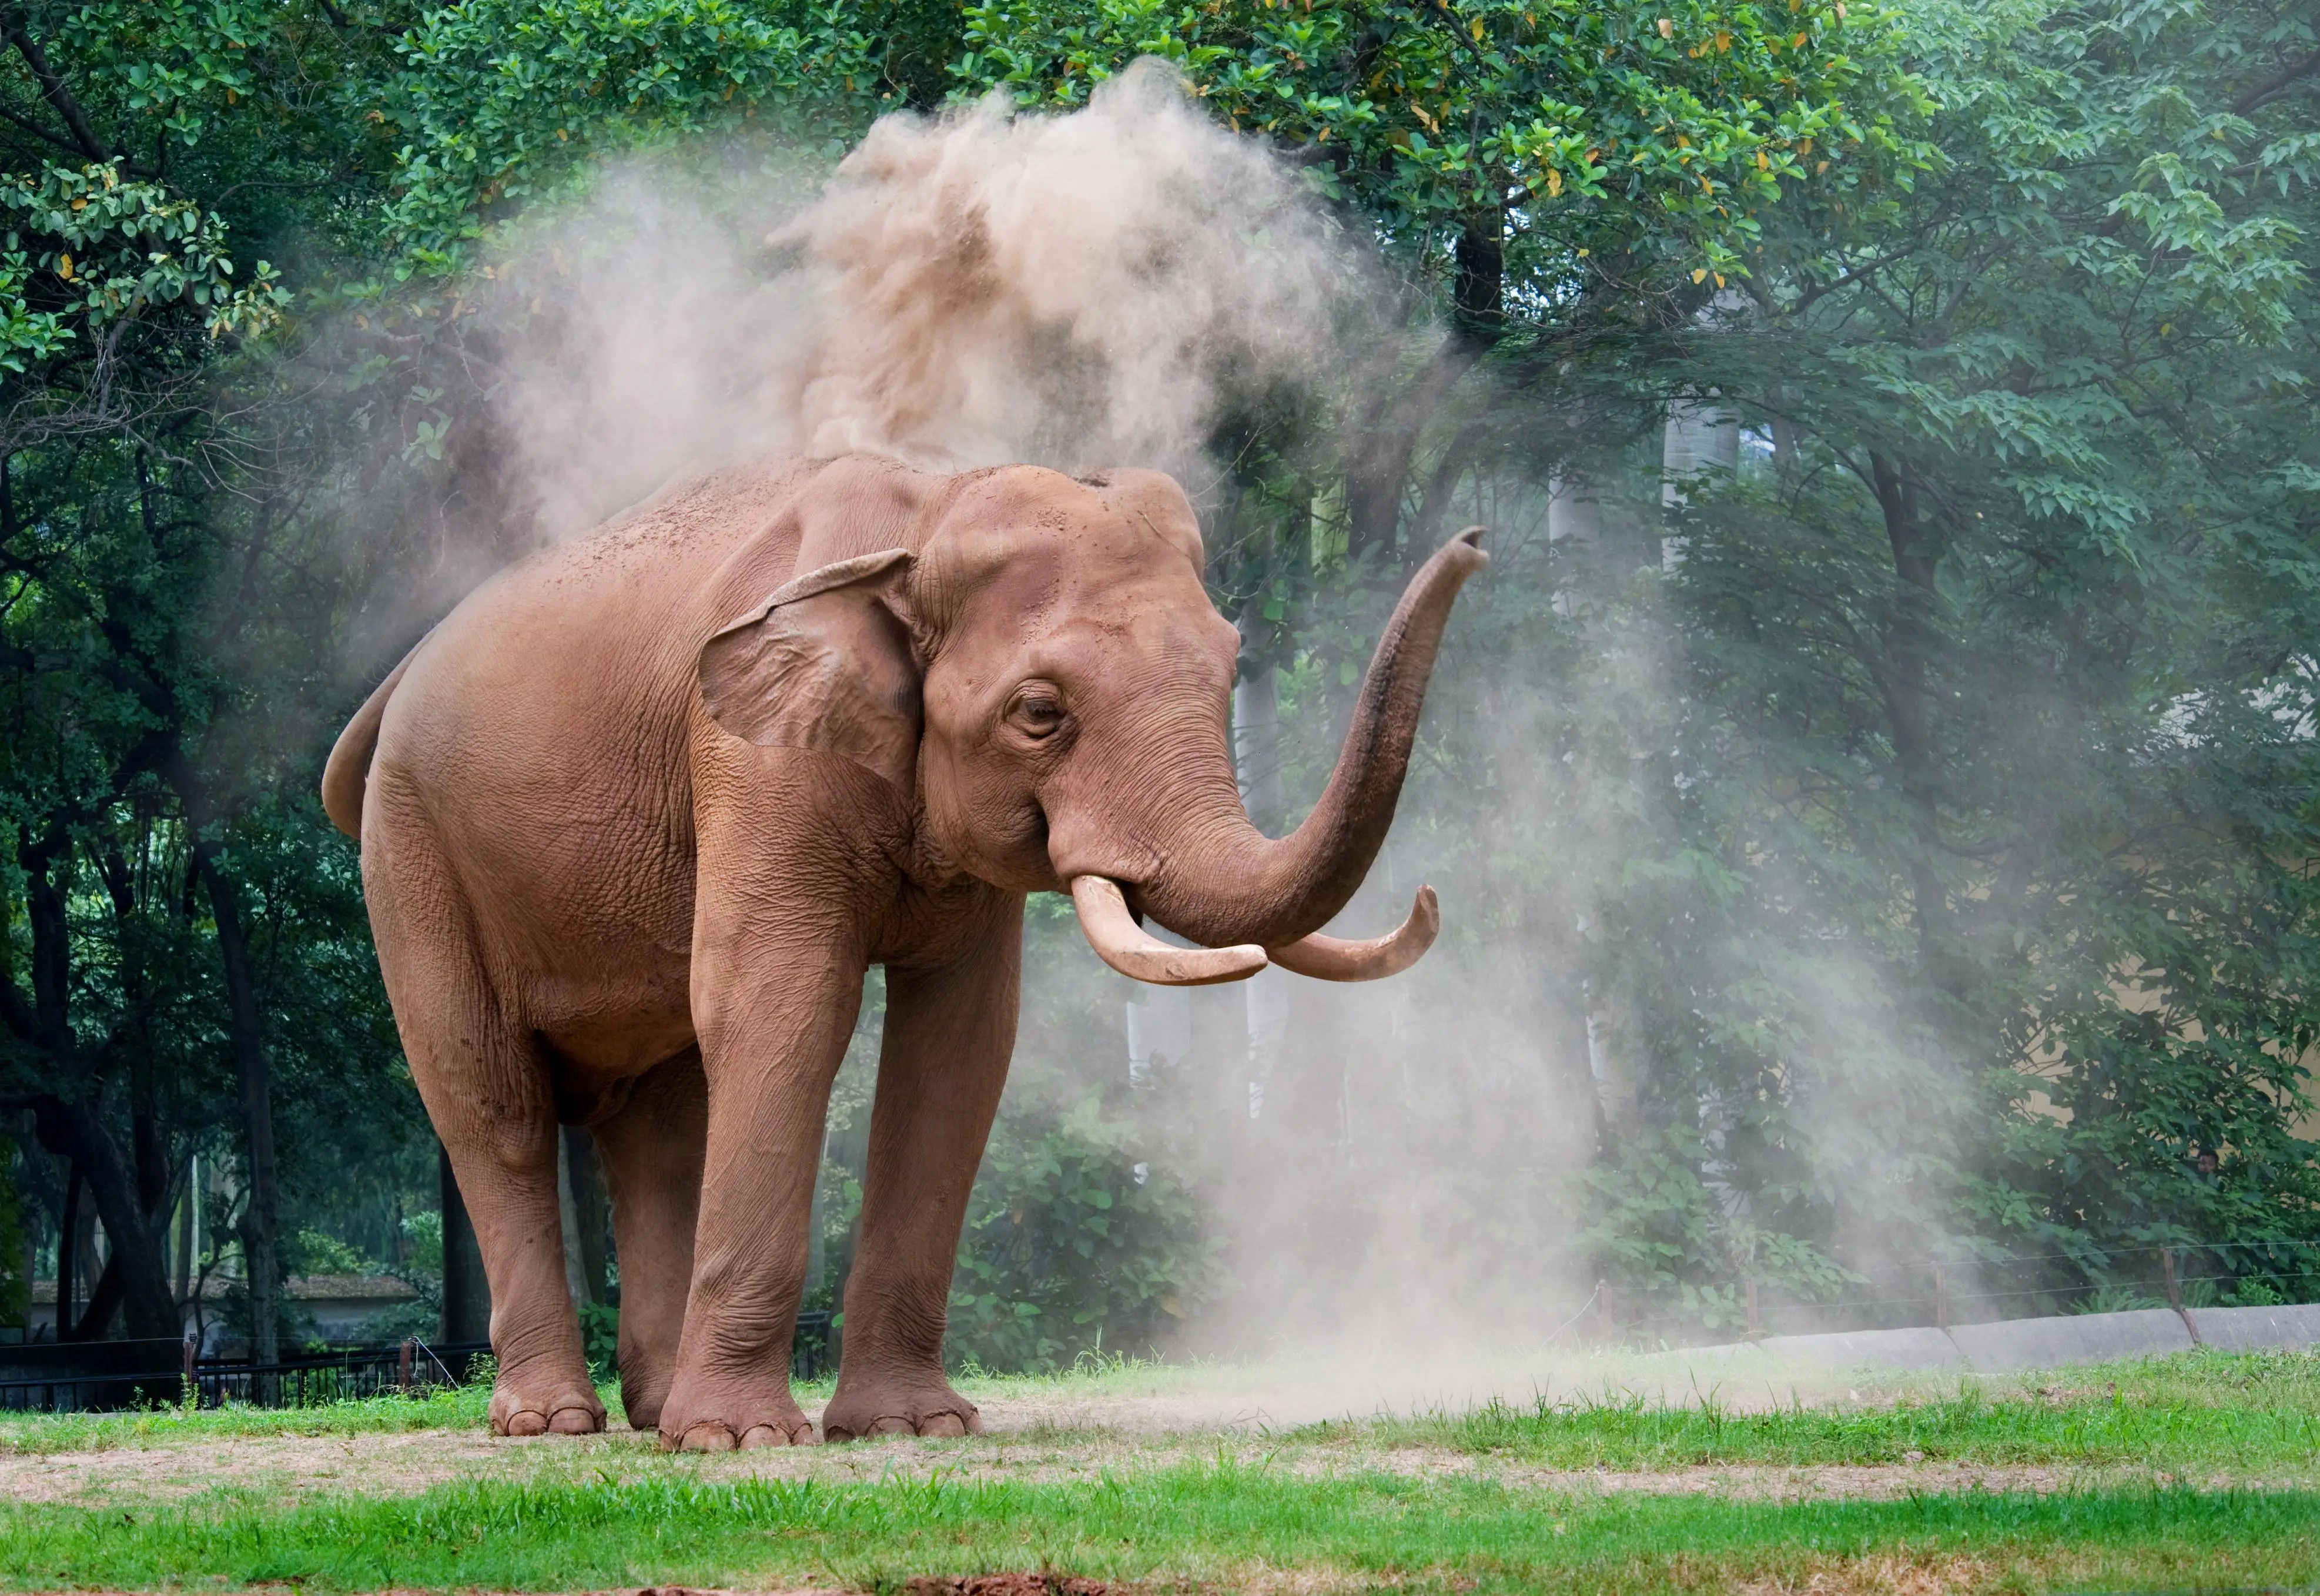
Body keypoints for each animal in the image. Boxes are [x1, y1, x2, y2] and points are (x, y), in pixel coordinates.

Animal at [322, 452, 1485, 1447]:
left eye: (1231, 665)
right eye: (1038, 712)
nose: (1474, 540)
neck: (924, 510)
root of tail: (384, 691)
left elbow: (963, 1044)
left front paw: (911, 1427)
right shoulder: (752, 756)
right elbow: (783, 1003)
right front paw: (742, 1441)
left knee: (659, 1129)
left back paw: (651, 1414)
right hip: (410, 855)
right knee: (496, 1109)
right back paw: (551, 1422)